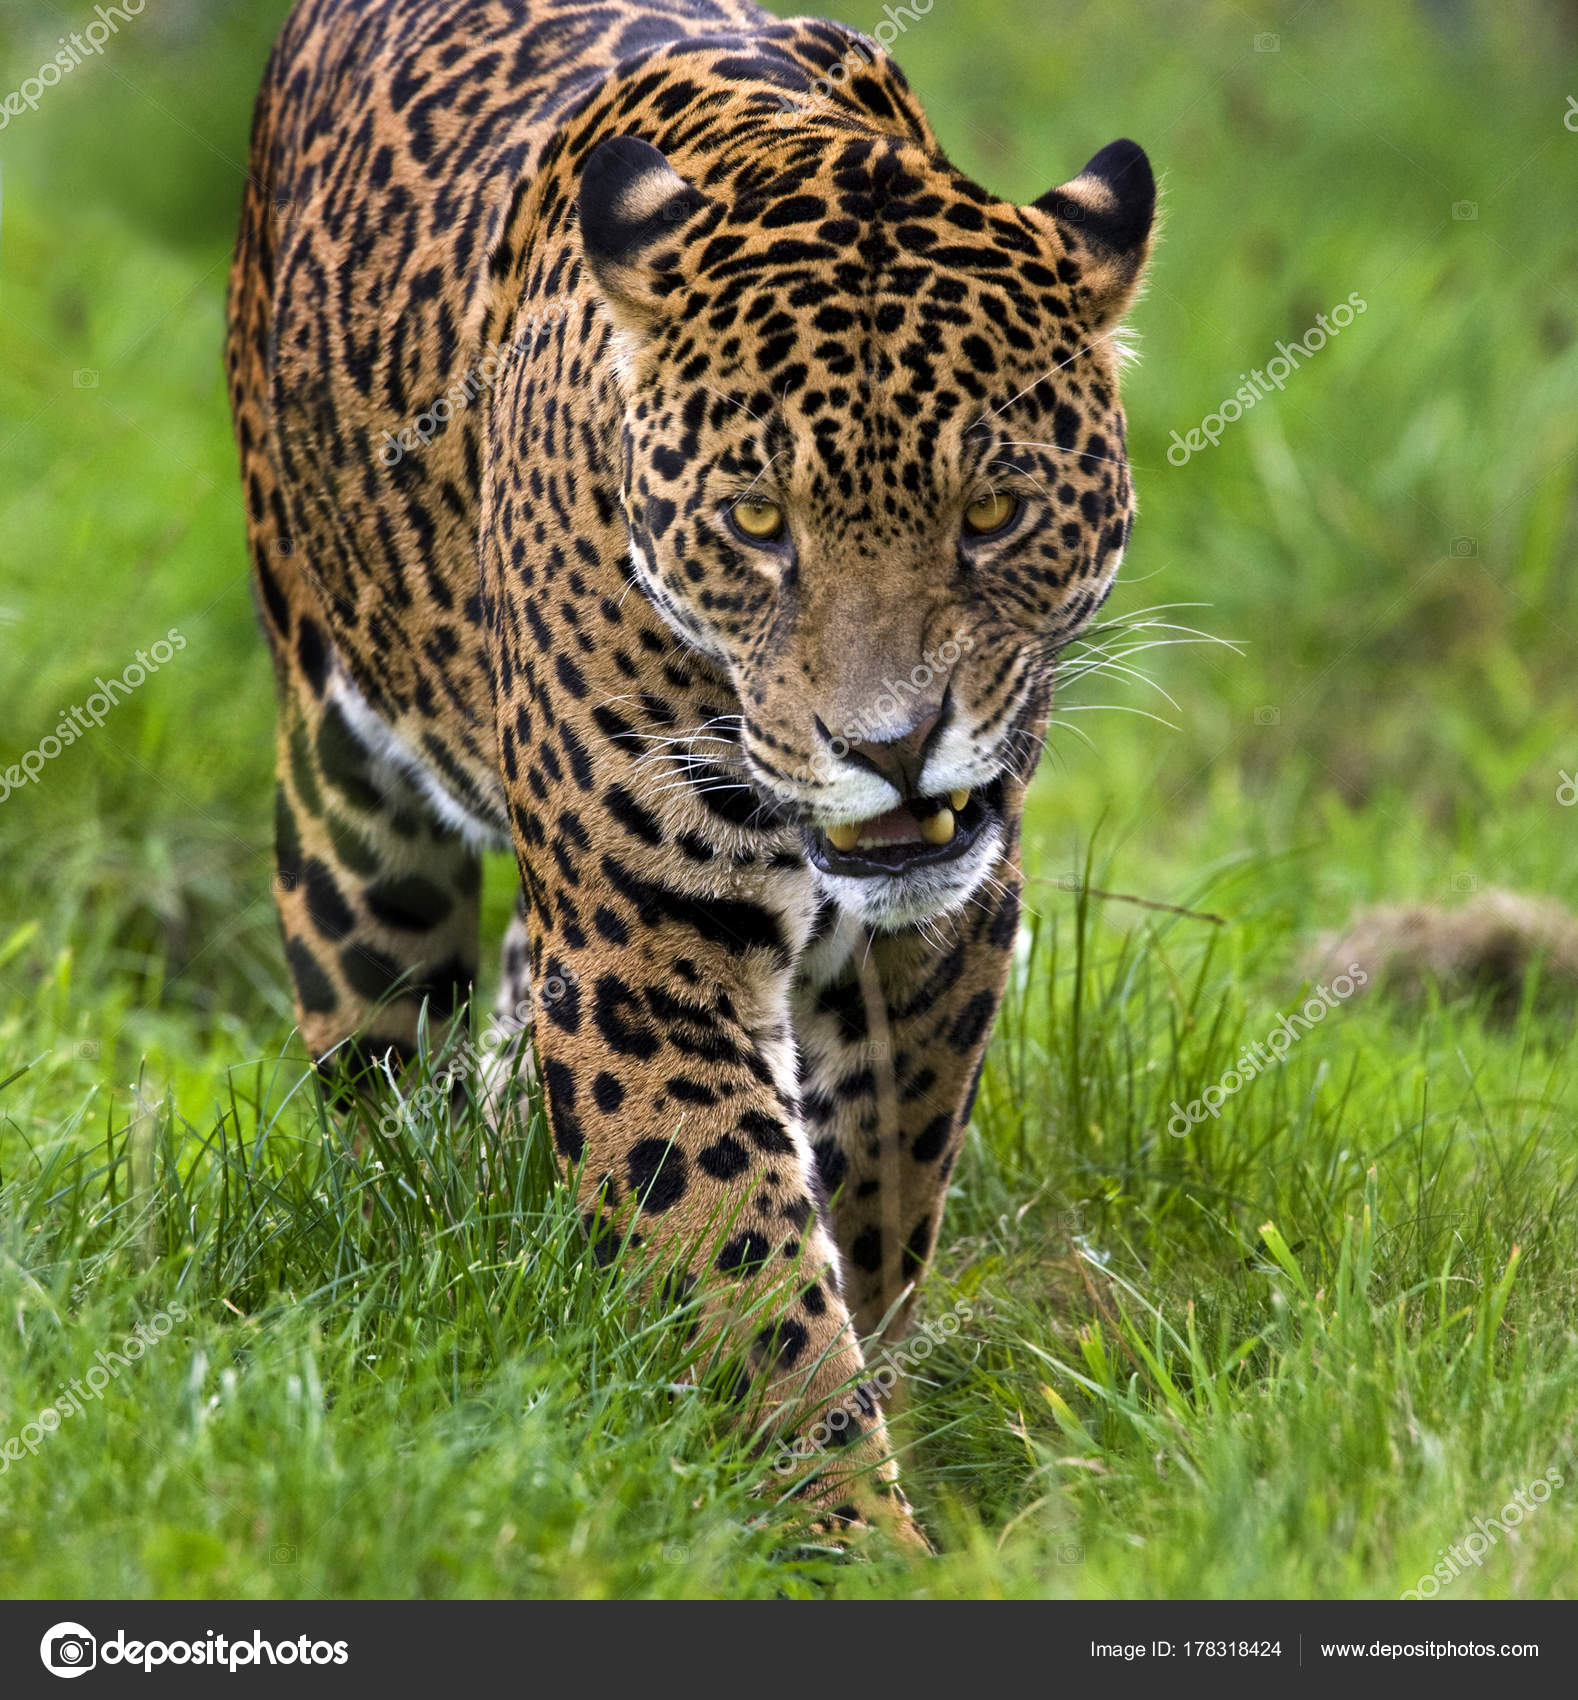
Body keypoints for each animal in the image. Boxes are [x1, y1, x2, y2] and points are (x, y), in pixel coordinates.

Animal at [226, 0, 1154, 1547]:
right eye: (756, 523)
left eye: (993, 511)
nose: (890, 744)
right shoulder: (645, 948)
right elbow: (744, 1269)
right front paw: (847, 1532)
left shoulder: (948, 929)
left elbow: (872, 1197)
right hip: (353, 814)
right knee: (378, 1064)